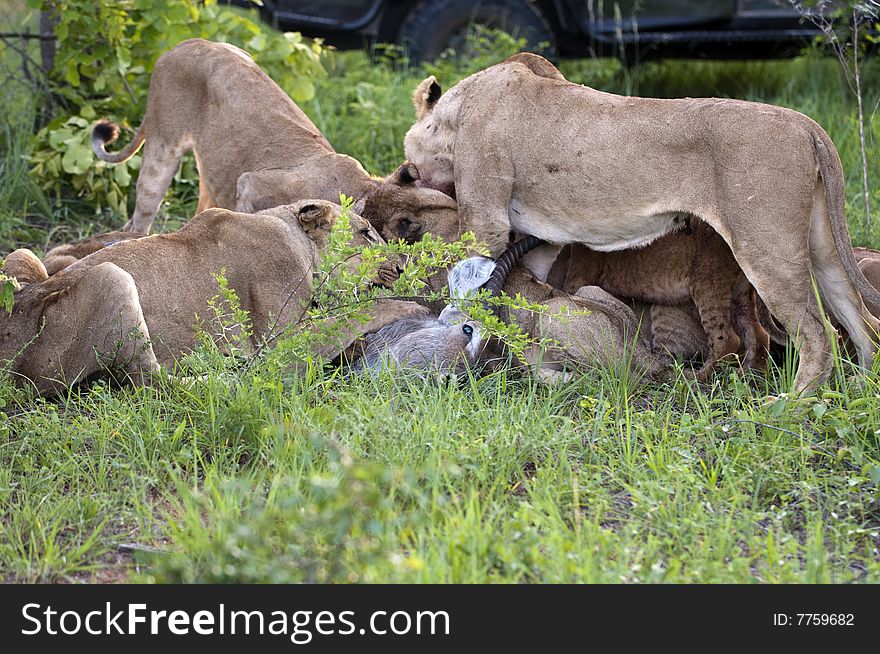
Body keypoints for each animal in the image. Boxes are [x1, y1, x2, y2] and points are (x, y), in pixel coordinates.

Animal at [0, 200, 398, 394]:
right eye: (366, 233)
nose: (401, 265)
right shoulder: (281, 340)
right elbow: (363, 311)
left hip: (22, 256)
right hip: (111, 277)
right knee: (148, 382)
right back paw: (222, 375)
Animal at [404, 52, 880, 394]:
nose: (406, 171)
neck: (456, 114)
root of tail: (807, 125)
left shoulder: (485, 220)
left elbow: (473, 284)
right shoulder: (543, 238)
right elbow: (523, 285)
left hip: (767, 247)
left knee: (819, 335)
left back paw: (788, 406)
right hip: (821, 247)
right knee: (859, 319)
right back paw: (861, 389)